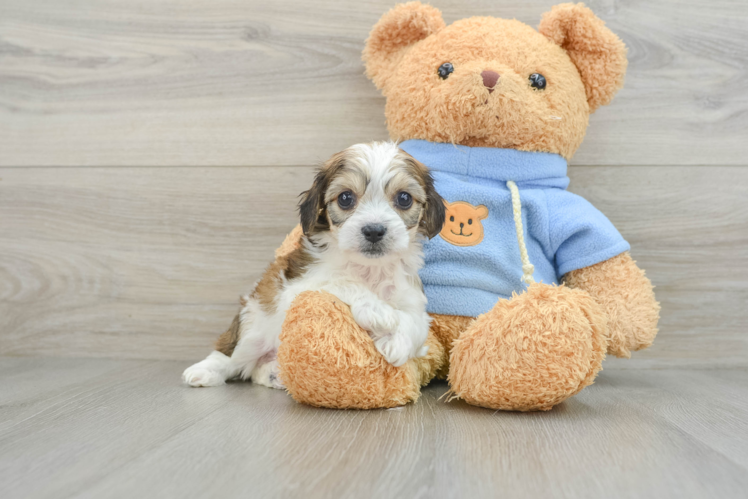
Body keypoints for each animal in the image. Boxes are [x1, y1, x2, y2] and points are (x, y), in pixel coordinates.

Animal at [185, 143, 448, 388]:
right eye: (345, 198)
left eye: (404, 198)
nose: (374, 230)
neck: (368, 269)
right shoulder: (296, 289)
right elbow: (339, 280)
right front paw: (378, 312)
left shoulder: (412, 299)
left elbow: (416, 324)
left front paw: (397, 343)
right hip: (254, 325)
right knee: (231, 354)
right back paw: (204, 371)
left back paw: (274, 373)